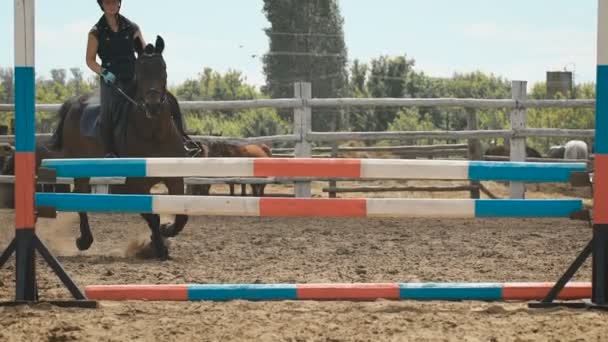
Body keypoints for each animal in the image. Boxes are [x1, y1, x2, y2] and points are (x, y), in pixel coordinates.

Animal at [47, 35, 186, 260]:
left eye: (163, 68)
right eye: (140, 71)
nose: (153, 106)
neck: (153, 132)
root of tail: (75, 102)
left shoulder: (174, 178)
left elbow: (181, 215)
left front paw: (166, 231)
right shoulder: (134, 184)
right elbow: (151, 216)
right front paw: (159, 247)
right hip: (81, 167)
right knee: (80, 196)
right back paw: (84, 240)